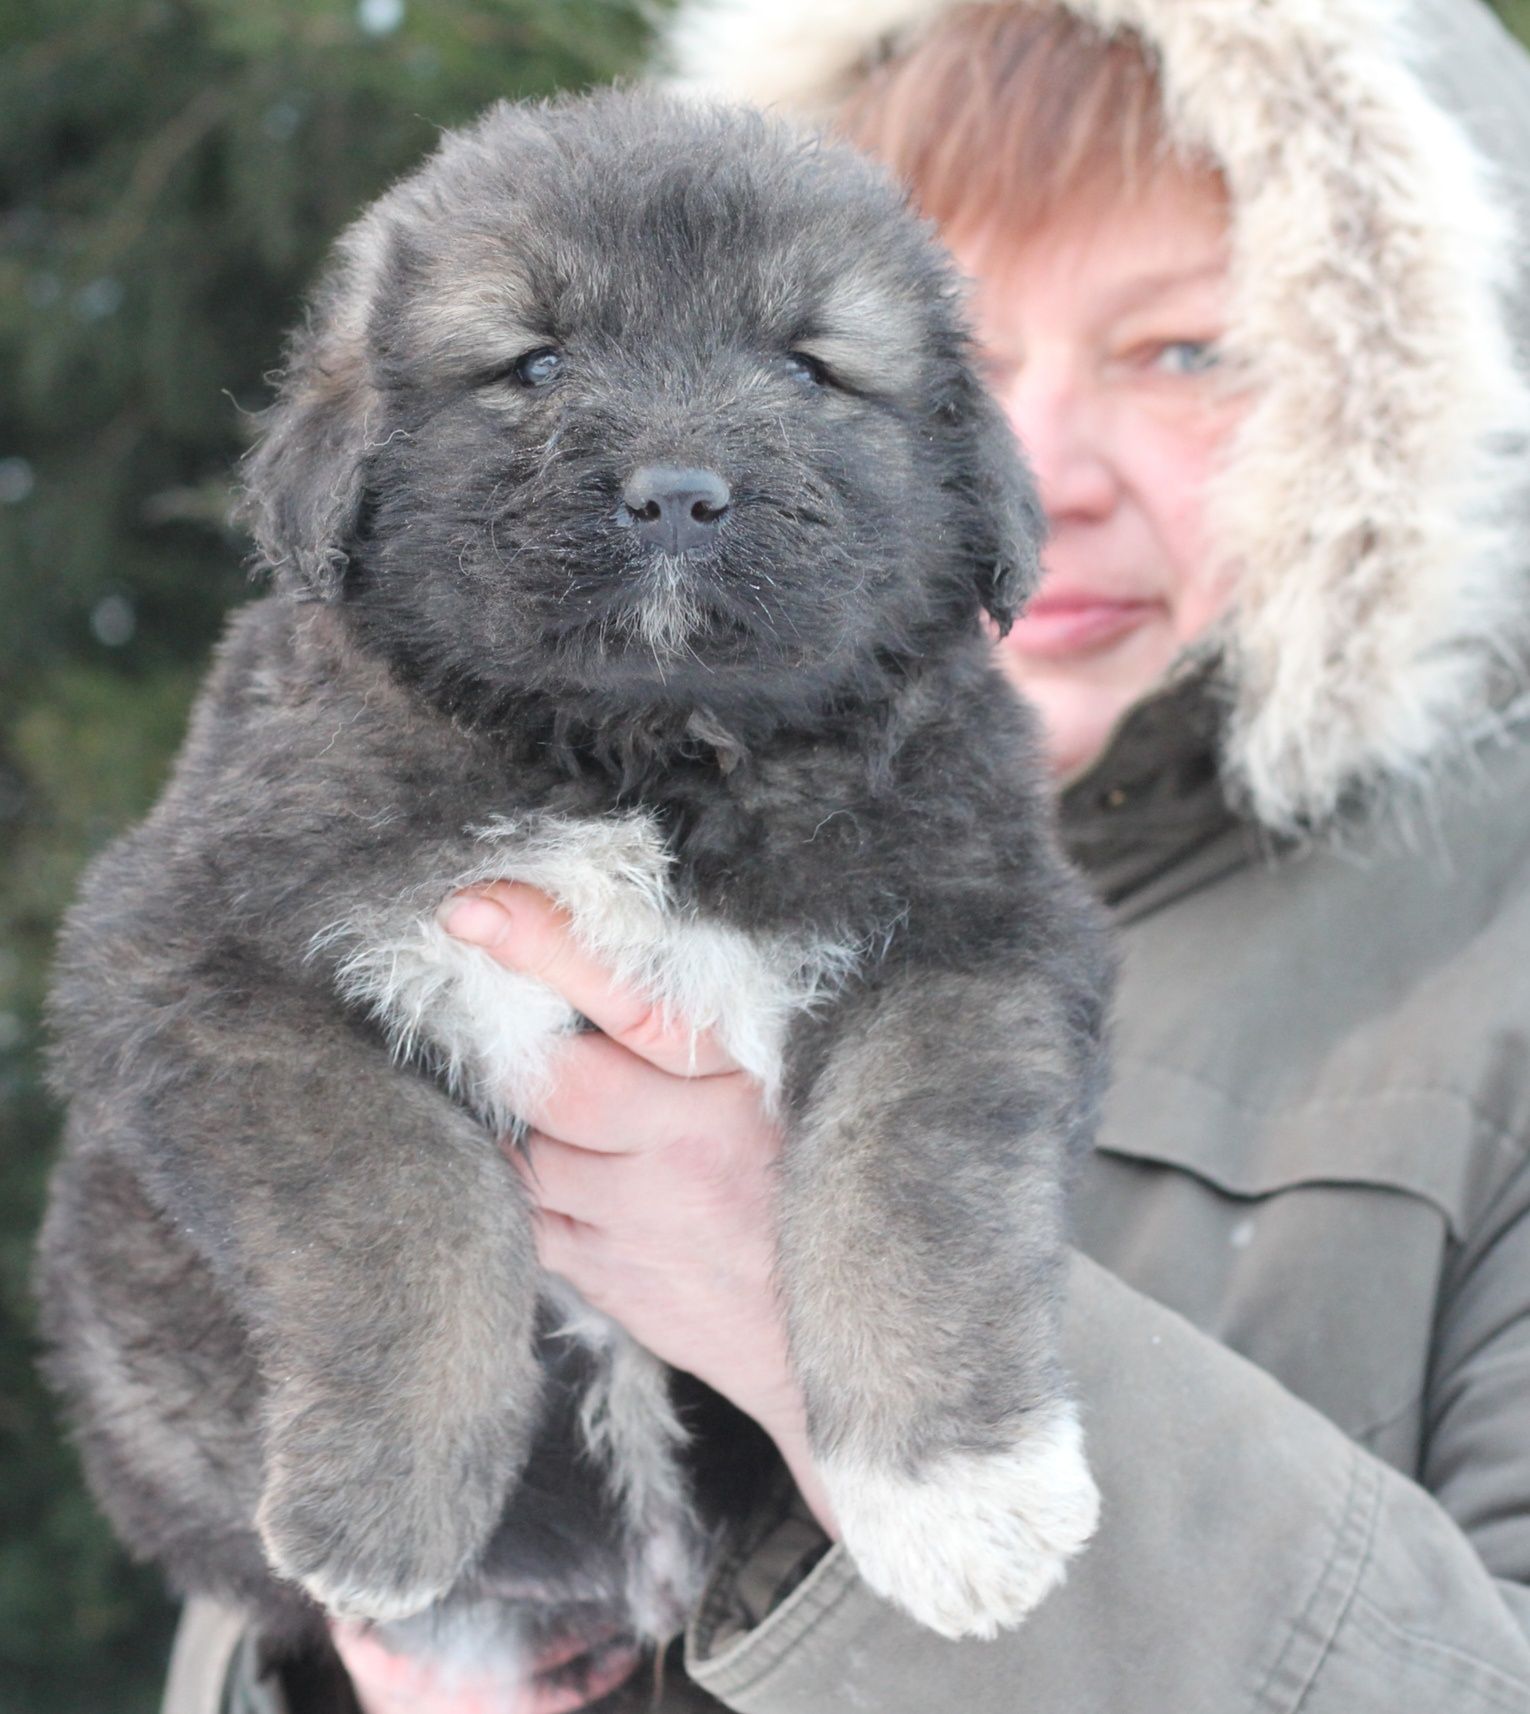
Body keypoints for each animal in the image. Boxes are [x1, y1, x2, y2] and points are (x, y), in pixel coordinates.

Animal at [35, 86, 1110, 1679]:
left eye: (809, 365)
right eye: (533, 361)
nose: (676, 494)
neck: (634, 759)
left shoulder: (977, 938)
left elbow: (911, 1185)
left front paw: (960, 1498)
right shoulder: (189, 964)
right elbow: (403, 1190)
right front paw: (384, 1510)